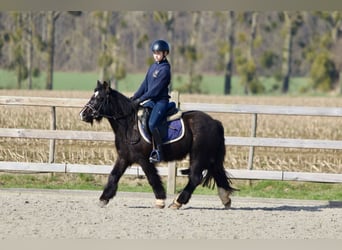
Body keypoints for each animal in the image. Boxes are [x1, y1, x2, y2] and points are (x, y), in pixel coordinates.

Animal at [80, 80, 236, 209]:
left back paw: (178, 202)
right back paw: (226, 200)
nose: (83, 114)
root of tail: (214, 122)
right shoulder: (124, 157)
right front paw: (103, 199)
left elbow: (152, 177)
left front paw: (160, 200)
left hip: (199, 155)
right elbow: (113, 176)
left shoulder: (143, 159)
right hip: (210, 157)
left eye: (99, 98)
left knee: (195, 177)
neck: (128, 125)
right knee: (217, 172)